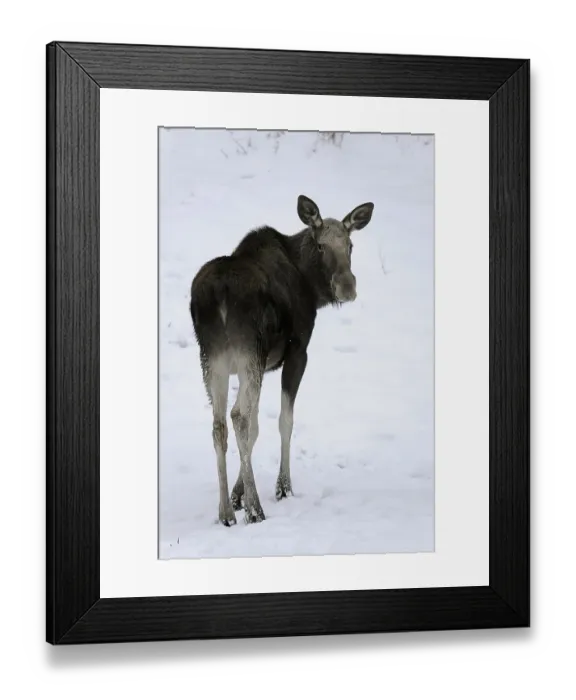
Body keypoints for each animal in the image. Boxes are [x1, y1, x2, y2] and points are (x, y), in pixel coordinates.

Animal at [190, 194, 375, 526]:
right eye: (320, 246)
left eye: (350, 245)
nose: (347, 286)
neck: (311, 290)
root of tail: (218, 295)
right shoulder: (297, 352)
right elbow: (283, 421)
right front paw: (282, 487)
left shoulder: (256, 365)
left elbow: (256, 427)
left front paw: (237, 496)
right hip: (248, 353)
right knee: (238, 416)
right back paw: (256, 510)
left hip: (212, 359)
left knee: (219, 424)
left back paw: (225, 512)